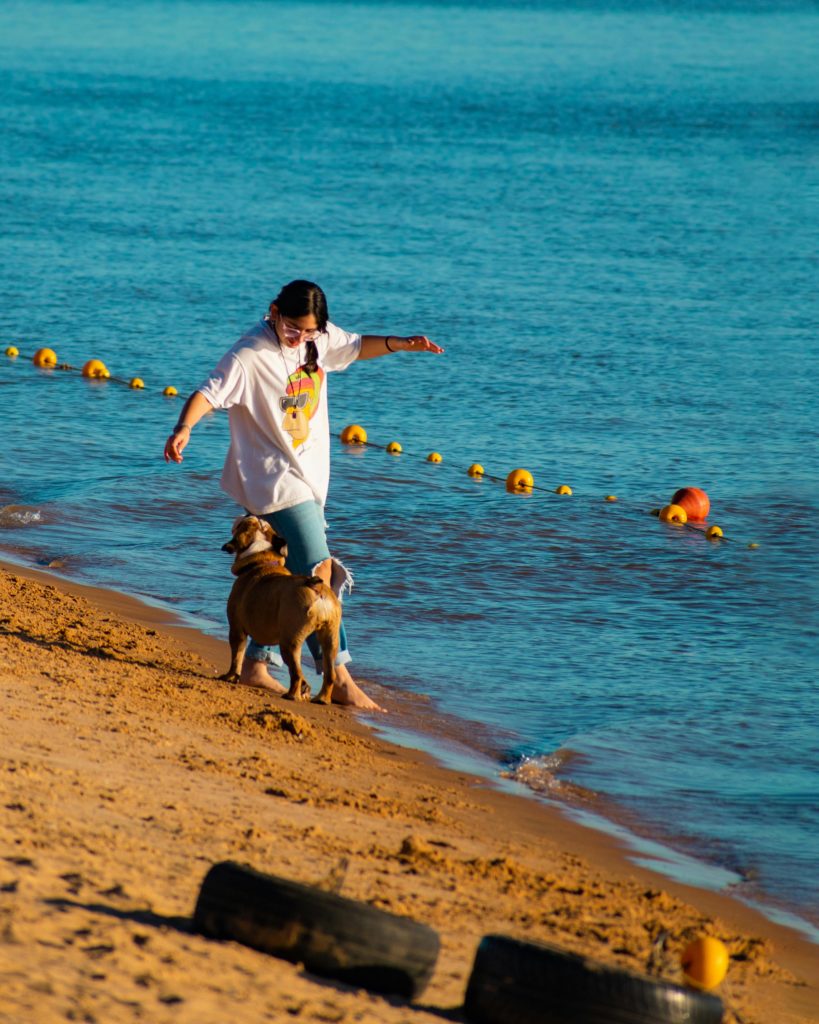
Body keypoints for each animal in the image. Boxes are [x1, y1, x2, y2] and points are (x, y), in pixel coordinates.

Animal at [219, 516, 339, 700]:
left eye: (241, 526)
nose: (247, 515)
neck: (260, 559)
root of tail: (315, 585)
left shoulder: (236, 629)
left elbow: (236, 656)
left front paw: (230, 677)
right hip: (330, 639)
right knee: (329, 672)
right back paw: (321, 699)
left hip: (289, 642)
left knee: (297, 673)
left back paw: (291, 695)